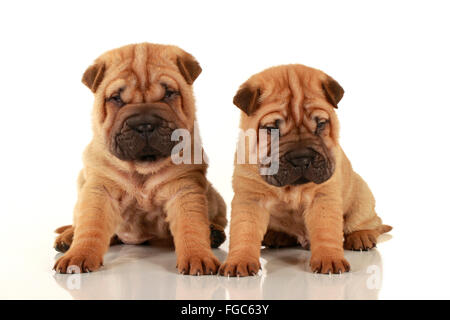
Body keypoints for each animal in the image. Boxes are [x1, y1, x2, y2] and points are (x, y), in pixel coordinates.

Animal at [53, 43, 227, 276]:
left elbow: (191, 225)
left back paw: (214, 233)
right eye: (116, 98)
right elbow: (90, 225)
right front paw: (78, 255)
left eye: (168, 94)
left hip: (215, 198)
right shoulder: (100, 189)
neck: (142, 168)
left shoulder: (184, 188)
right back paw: (67, 238)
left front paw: (198, 256)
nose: (144, 124)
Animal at [220, 64, 392, 276]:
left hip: (362, 197)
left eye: (320, 124)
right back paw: (277, 236)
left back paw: (362, 236)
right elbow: (244, 231)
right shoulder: (250, 198)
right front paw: (240, 261)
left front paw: (329, 259)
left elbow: (326, 231)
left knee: (369, 222)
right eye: (272, 129)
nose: (301, 159)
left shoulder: (323, 197)